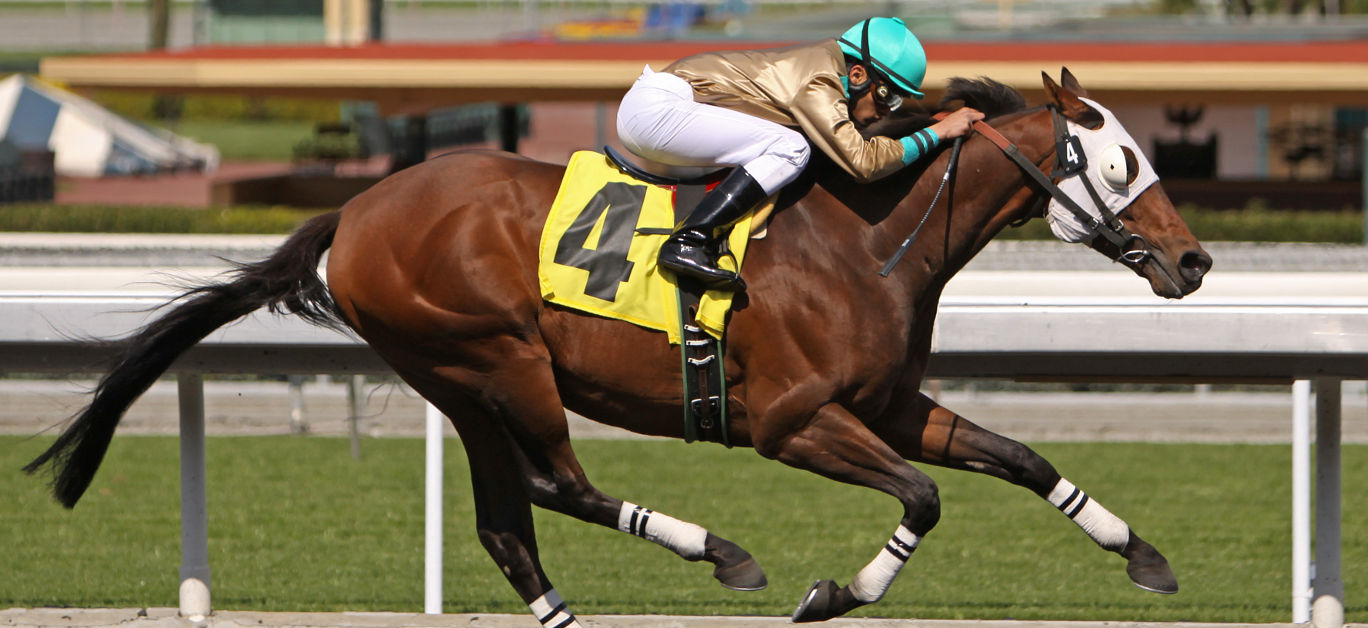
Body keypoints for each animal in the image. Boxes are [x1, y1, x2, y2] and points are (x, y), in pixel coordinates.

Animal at [26, 70, 1209, 623]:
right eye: (1119, 162)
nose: (1193, 262)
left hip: (457, 381)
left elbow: (1024, 460)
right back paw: (719, 550)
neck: (867, 237)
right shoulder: (791, 423)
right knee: (555, 484)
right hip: (497, 359)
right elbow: (923, 497)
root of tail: (356, 211)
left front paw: (1145, 555)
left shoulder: (885, 405)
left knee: (509, 522)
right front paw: (833, 591)